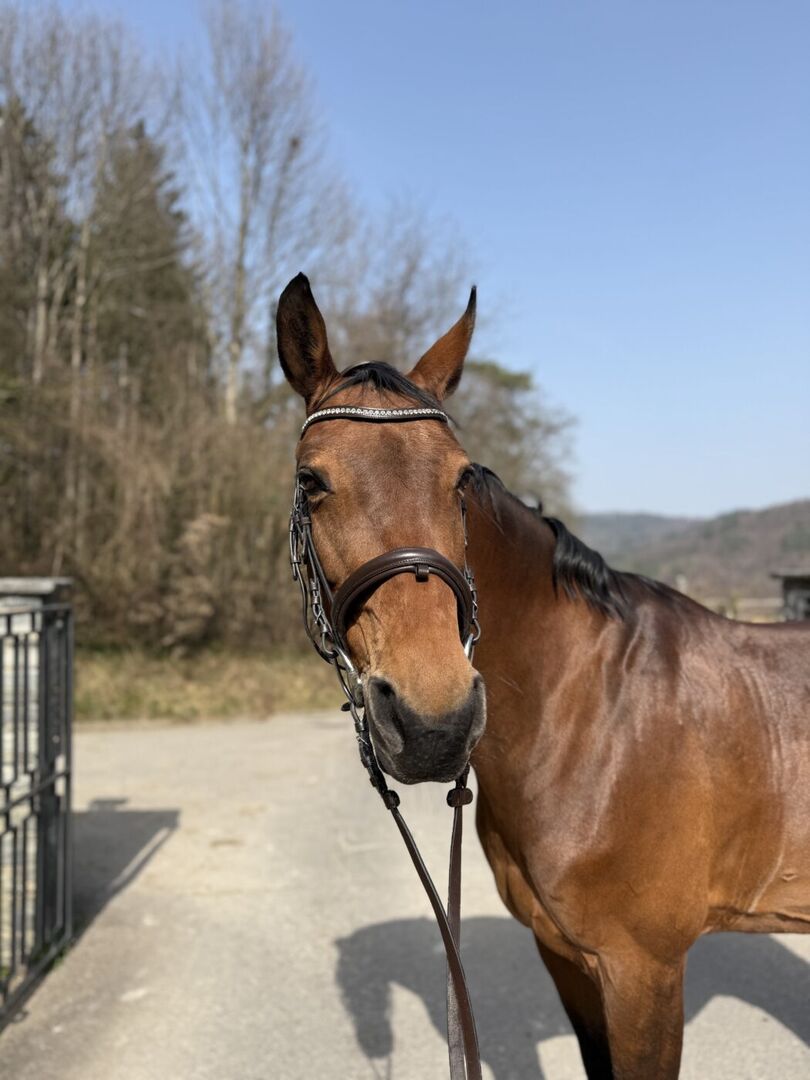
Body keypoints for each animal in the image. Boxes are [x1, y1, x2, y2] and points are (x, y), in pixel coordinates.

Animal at [276, 272, 810, 1079]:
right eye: (312, 482)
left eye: (460, 481)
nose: (433, 724)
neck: (591, 713)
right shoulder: (568, 961)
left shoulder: (644, 972)